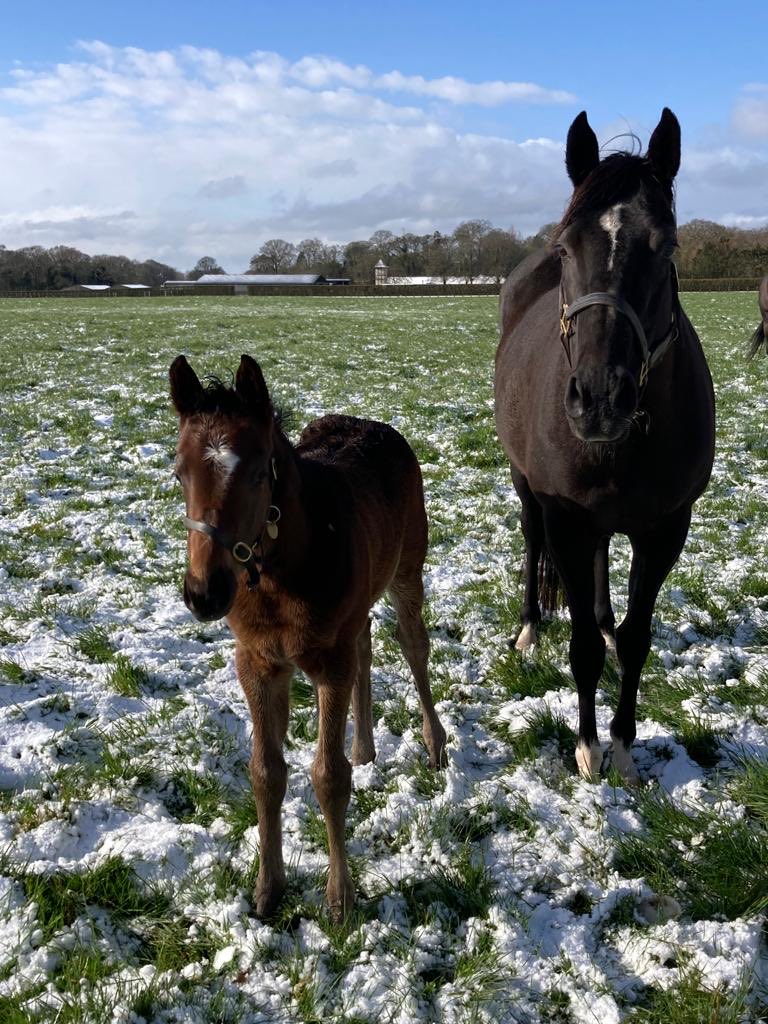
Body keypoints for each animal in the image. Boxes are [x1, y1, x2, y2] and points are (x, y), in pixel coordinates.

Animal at [167, 352, 444, 921]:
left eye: (257, 473)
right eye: (179, 472)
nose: (204, 593)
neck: (276, 576)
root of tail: (376, 425)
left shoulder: (328, 663)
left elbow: (328, 777)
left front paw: (340, 900)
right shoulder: (256, 662)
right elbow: (265, 773)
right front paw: (267, 890)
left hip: (407, 569)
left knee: (413, 646)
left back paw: (435, 744)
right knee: (366, 641)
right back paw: (364, 747)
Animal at [495, 110, 720, 774]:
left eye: (666, 246)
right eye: (566, 247)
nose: (599, 399)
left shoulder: (666, 527)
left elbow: (638, 637)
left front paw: (622, 743)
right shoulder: (566, 519)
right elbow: (582, 652)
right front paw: (589, 747)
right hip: (530, 493)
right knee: (531, 541)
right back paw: (529, 627)